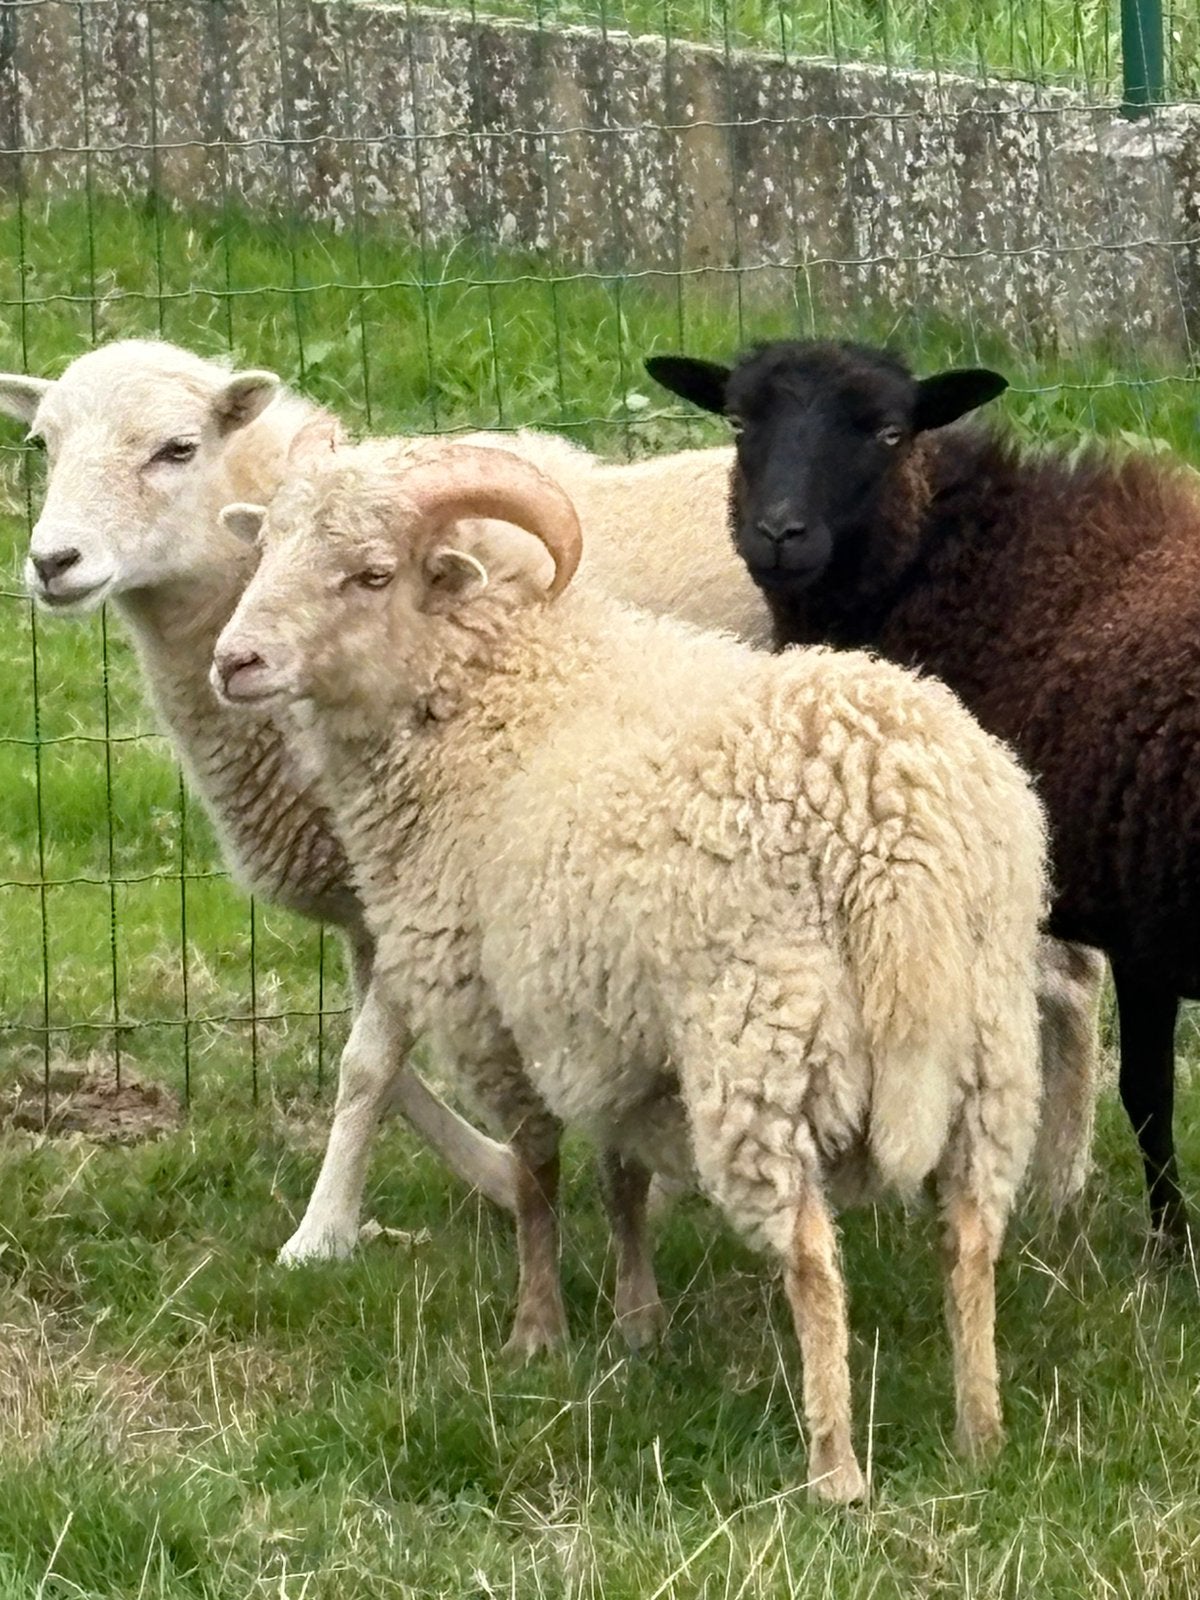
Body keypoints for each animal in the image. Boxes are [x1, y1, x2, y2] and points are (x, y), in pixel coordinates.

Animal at [210, 434, 1049, 1503]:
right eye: (266, 543)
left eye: (371, 574)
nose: (233, 661)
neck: (493, 688)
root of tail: (896, 831)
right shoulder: (612, 1024)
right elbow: (623, 1177)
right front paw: (637, 1325)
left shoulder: (491, 1008)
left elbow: (535, 1175)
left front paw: (537, 1334)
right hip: (988, 1042)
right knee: (972, 1233)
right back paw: (981, 1437)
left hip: (759, 1044)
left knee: (812, 1254)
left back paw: (835, 1471)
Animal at [645, 337, 1194, 1245]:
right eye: (738, 420)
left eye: (890, 433)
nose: (779, 533)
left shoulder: (1138, 928)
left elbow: (1145, 1094)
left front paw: (1171, 1244)